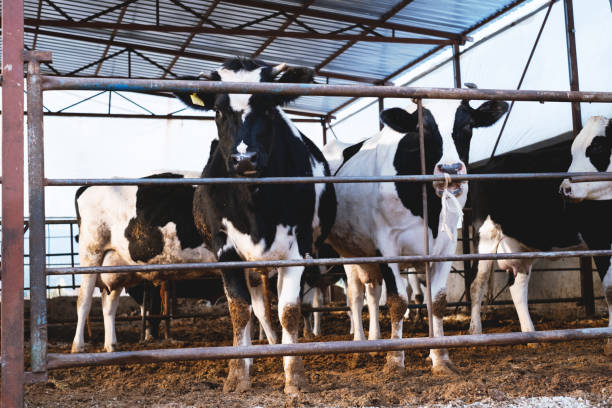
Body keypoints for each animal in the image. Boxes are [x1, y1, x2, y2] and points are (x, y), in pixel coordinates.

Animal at [172, 58, 338, 396]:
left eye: (268, 107)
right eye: (218, 110)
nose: (244, 158)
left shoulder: (298, 247)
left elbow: (289, 311)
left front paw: (295, 375)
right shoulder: (225, 249)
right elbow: (240, 311)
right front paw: (238, 375)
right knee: (258, 308)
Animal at [326, 97, 506, 374]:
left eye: (468, 125)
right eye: (423, 128)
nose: (450, 168)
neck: (428, 209)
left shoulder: (446, 247)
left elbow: (437, 301)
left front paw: (440, 357)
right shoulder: (387, 246)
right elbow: (398, 302)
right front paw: (394, 360)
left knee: (372, 293)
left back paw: (376, 340)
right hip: (349, 253)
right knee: (356, 296)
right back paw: (360, 348)